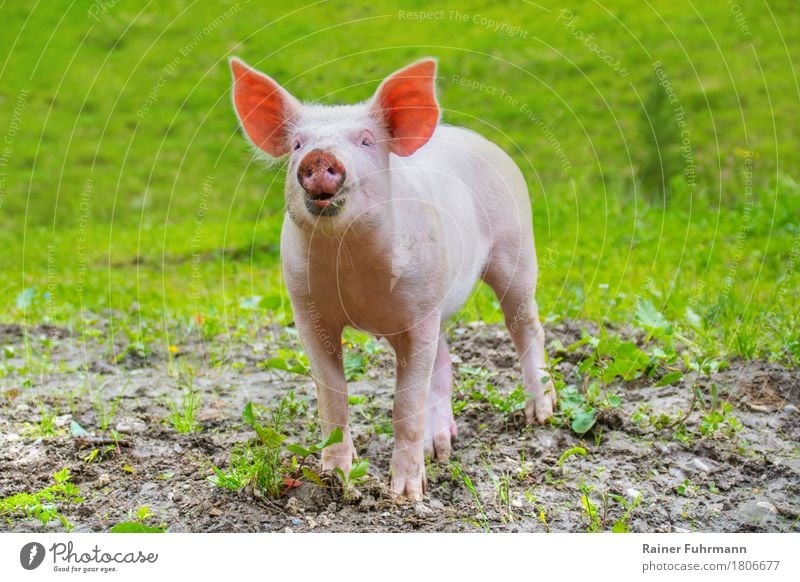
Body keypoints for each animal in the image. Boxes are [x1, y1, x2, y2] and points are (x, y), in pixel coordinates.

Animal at [230, 56, 556, 502]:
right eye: (297, 145)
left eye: (367, 141)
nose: (318, 157)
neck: (350, 264)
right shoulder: (308, 309)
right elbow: (333, 395)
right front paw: (336, 480)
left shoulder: (416, 314)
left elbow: (405, 404)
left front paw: (406, 495)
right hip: (438, 298)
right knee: (444, 361)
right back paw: (440, 448)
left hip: (515, 248)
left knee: (525, 326)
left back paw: (540, 415)